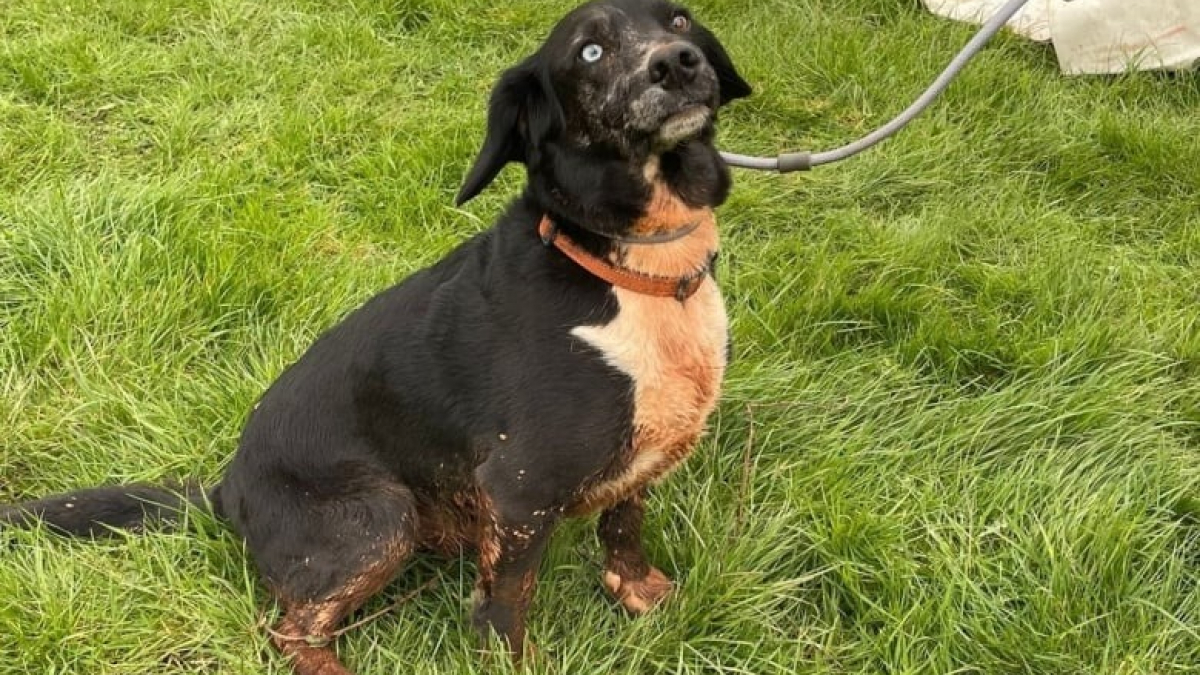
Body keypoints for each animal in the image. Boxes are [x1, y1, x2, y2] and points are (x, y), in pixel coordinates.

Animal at [2, 2, 748, 667]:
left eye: (679, 20)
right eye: (590, 51)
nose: (678, 62)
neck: (639, 267)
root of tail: (225, 494)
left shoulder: (638, 455)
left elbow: (624, 525)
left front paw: (641, 593)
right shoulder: (519, 489)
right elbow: (506, 605)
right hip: (383, 515)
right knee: (289, 630)